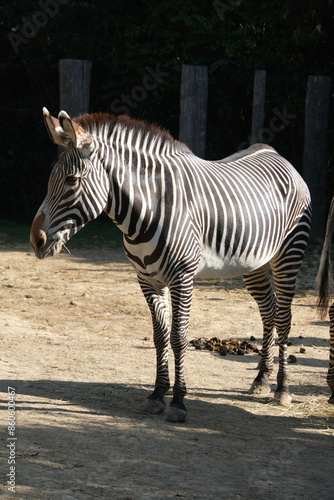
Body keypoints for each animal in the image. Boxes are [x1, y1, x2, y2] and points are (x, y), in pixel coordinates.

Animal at [30, 108, 312, 422]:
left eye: (71, 180)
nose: (36, 240)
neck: (147, 210)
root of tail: (275, 153)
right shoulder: (148, 279)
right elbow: (159, 337)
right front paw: (156, 395)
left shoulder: (182, 278)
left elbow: (178, 337)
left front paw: (178, 402)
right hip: (255, 264)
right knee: (269, 312)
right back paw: (261, 379)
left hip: (289, 253)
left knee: (284, 317)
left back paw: (282, 389)